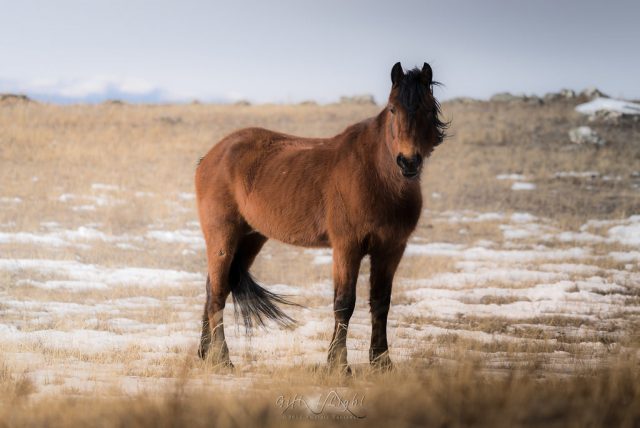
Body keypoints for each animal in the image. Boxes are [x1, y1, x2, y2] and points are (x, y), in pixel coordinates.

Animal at [195, 61, 444, 372]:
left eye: (427, 109)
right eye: (392, 109)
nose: (408, 162)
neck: (377, 176)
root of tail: (212, 155)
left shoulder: (391, 250)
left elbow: (381, 302)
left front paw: (382, 362)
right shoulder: (347, 247)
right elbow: (344, 303)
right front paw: (339, 365)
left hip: (250, 239)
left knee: (214, 288)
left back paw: (204, 353)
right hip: (223, 236)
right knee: (217, 293)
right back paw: (222, 358)